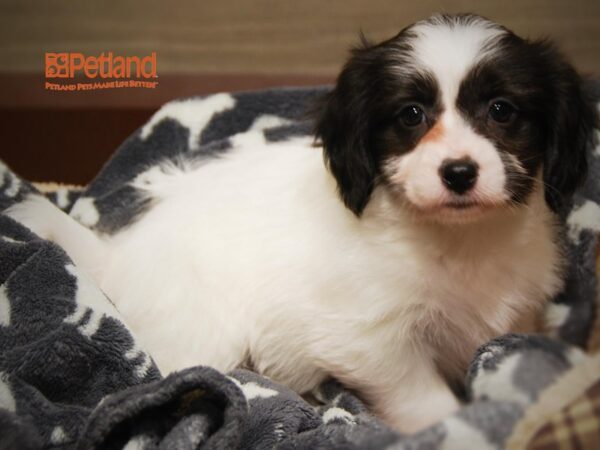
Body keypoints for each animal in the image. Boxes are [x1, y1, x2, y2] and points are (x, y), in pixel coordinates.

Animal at [8, 13, 596, 432]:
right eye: (410, 115)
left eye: (501, 110)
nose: (458, 172)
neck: (459, 240)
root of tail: (115, 256)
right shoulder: (371, 342)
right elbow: (423, 398)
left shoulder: (515, 312)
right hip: (201, 340)